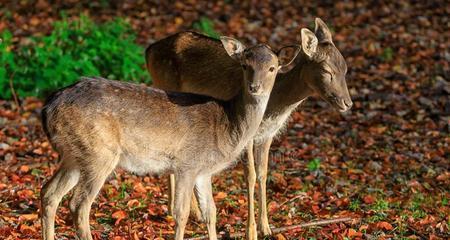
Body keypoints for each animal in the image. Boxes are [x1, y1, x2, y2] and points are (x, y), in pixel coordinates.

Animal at [38, 37, 298, 240]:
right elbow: (181, 213)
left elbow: (211, 212)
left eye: (273, 68)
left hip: (74, 154)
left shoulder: (203, 171)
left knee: (49, 192)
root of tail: (48, 108)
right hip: (99, 152)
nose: (255, 87)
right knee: (79, 204)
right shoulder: (187, 164)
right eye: (244, 65)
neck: (227, 126)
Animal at [146, 17, 354, 239]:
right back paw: (180, 210)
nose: (347, 103)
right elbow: (250, 175)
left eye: (345, 69)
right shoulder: (244, 134)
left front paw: (267, 227)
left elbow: (263, 173)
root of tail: (148, 51)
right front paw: (251, 232)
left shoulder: (267, 135)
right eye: (326, 71)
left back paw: (190, 212)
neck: (275, 107)